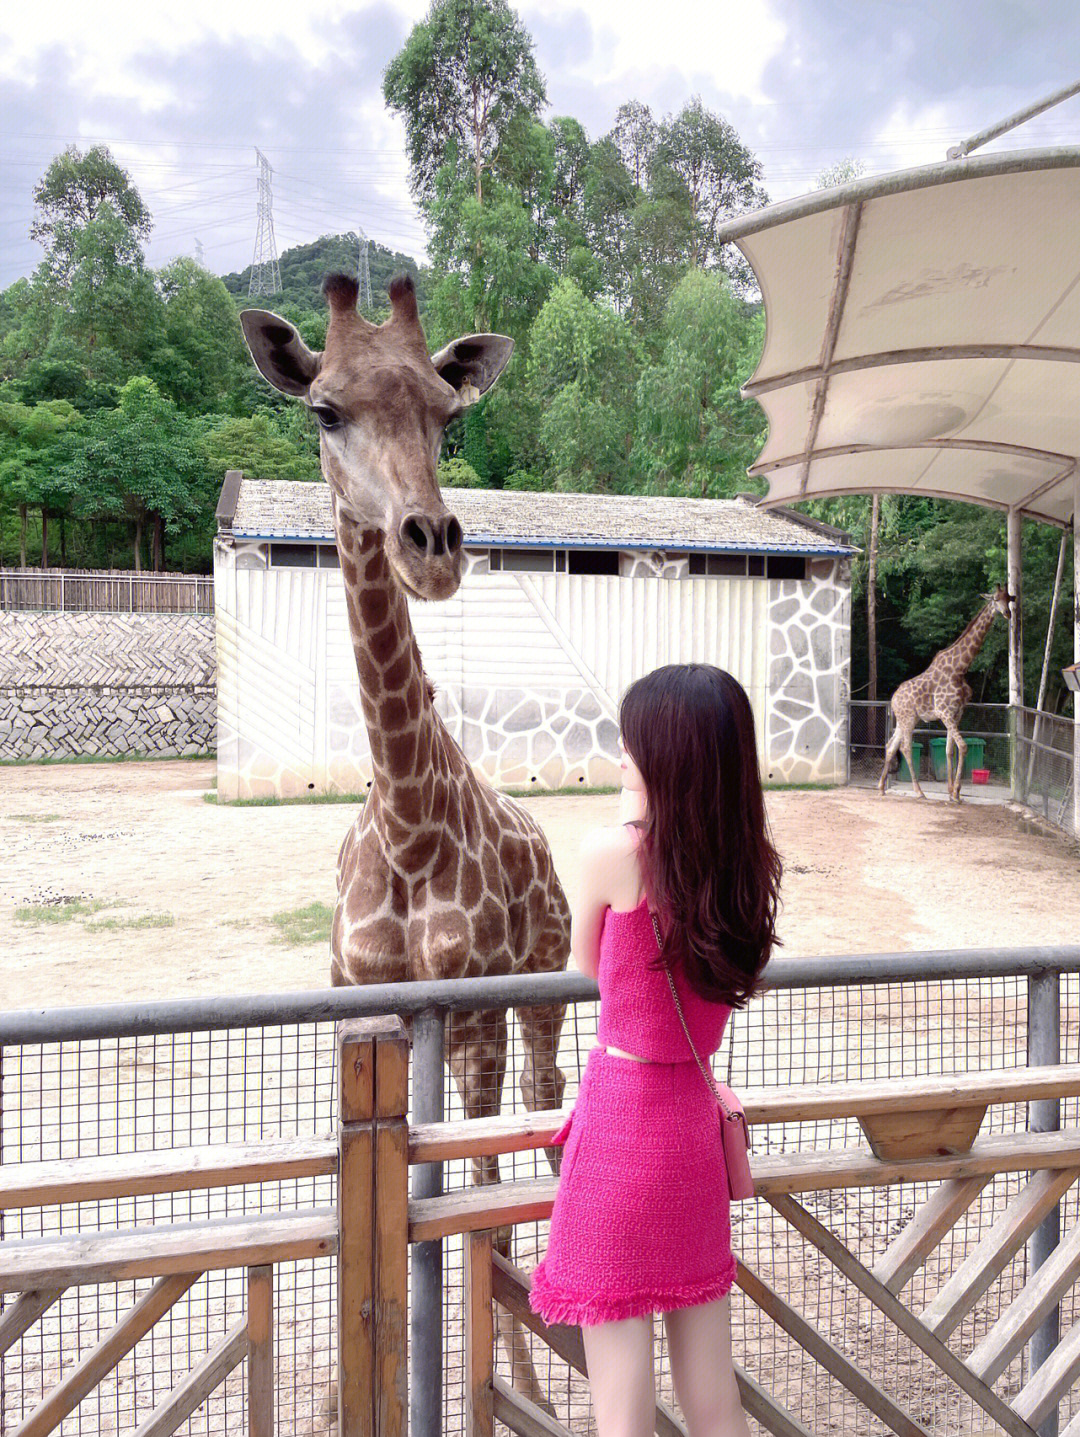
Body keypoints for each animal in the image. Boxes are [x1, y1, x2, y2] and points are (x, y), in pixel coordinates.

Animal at [239, 274, 568, 1408]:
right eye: (323, 409)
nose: (434, 546)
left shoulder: (470, 1011)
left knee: (534, 1125)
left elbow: (469, 1207)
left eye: (446, 415)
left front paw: (509, 1384)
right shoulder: (364, 1013)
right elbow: (378, 1216)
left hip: (536, 998)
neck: (409, 822)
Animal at [878, 586, 1011, 810]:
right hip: (907, 719)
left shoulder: (956, 713)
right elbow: (963, 747)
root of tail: (893, 699)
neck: (960, 668)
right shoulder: (945, 713)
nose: (1008, 613)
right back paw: (919, 791)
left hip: (905, 720)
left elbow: (950, 750)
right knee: (905, 747)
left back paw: (880, 787)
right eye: (995, 599)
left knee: (891, 746)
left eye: (1009, 599)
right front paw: (956, 792)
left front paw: (951, 792)